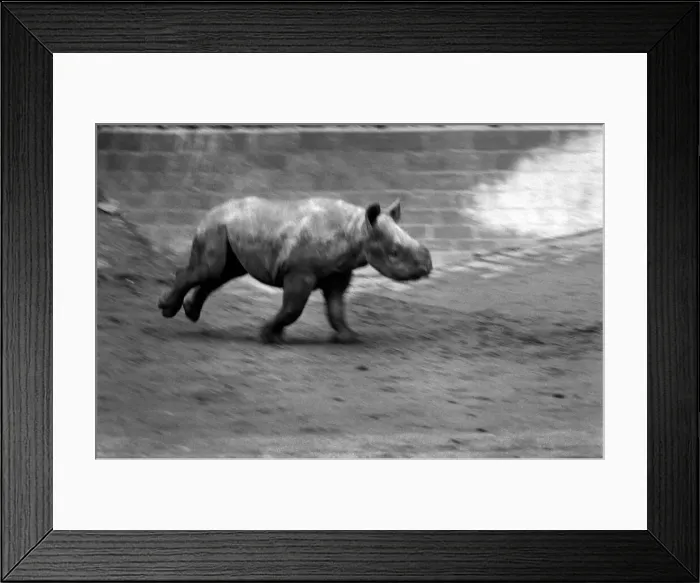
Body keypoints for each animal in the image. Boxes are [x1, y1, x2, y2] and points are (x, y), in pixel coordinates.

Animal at [157, 196, 432, 344]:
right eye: (395, 252)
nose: (428, 267)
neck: (357, 230)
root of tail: (211, 209)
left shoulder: (337, 273)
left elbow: (336, 308)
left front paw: (348, 337)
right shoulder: (300, 272)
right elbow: (293, 308)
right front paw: (269, 336)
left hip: (230, 228)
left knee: (223, 273)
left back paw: (190, 313)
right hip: (215, 227)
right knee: (210, 270)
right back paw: (167, 309)